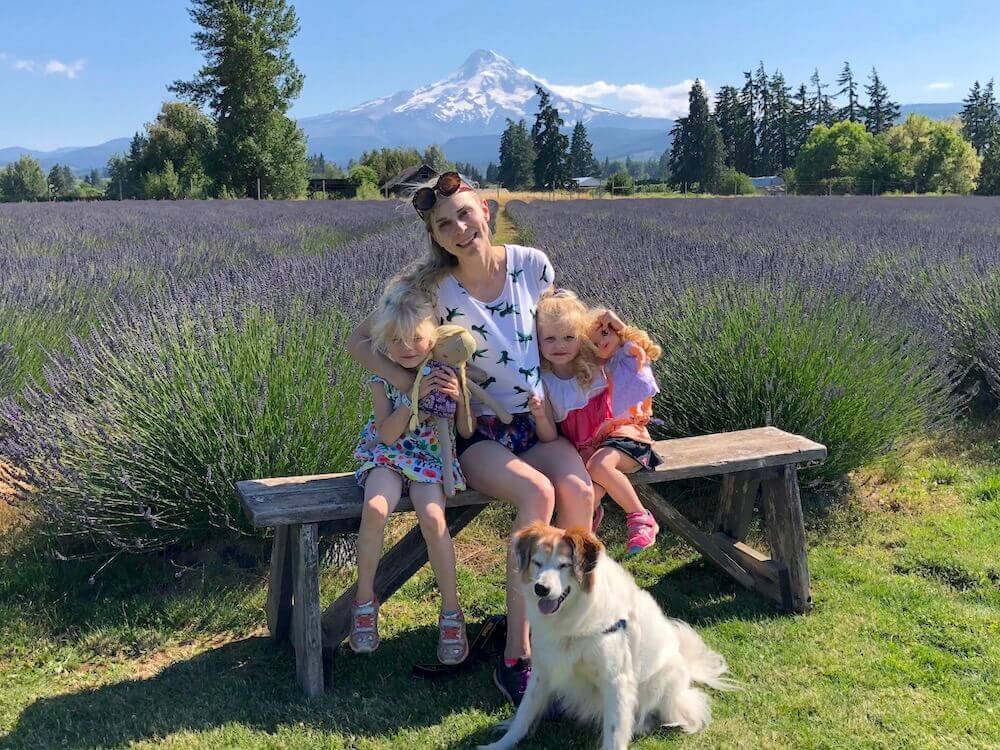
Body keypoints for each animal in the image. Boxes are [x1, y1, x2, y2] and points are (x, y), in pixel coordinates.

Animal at [476, 524, 736, 750]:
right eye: (537, 563)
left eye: (564, 565)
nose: (541, 588)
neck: (574, 621)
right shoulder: (543, 671)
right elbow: (525, 712)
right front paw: (500, 745)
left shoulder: (617, 681)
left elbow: (615, 731)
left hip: (662, 681)